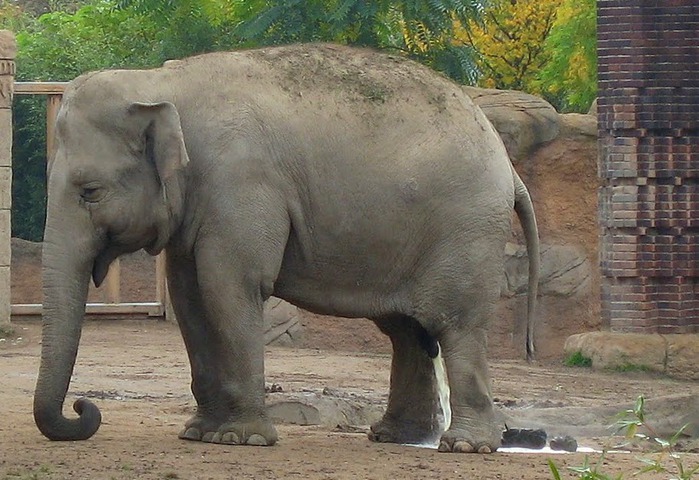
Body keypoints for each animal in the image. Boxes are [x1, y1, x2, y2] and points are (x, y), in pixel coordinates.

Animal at [32, 42, 540, 454]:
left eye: (90, 192)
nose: (83, 408)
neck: (160, 83)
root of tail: (509, 167)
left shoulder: (242, 182)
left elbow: (228, 285)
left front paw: (241, 438)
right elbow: (190, 296)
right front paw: (199, 433)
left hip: (466, 228)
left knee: (454, 324)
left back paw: (465, 446)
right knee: (406, 330)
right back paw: (394, 437)